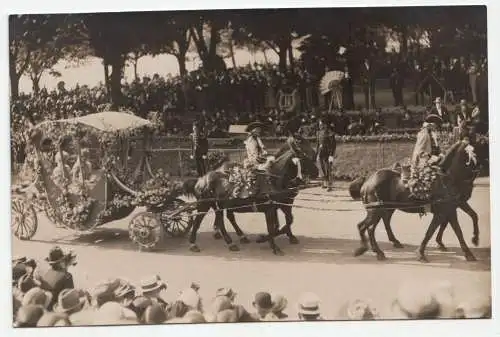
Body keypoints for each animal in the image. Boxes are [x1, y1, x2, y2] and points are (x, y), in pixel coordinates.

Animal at [182, 140, 318, 255]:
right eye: (304, 157)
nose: (316, 171)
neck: (272, 180)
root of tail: (201, 180)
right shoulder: (271, 209)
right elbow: (273, 227)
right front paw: (272, 245)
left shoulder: (278, 205)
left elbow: (283, 222)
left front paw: (270, 239)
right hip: (204, 204)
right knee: (199, 221)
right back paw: (195, 243)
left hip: (219, 205)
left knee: (223, 219)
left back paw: (233, 239)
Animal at [350, 140, 482, 262]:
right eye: (472, 155)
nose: (478, 170)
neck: (446, 179)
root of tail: (368, 181)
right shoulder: (445, 210)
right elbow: (442, 231)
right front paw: (422, 252)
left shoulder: (453, 207)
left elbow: (472, 217)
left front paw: (474, 240)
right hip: (376, 210)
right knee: (367, 227)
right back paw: (374, 250)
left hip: (384, 208)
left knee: (374, 225)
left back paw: (381, 246)